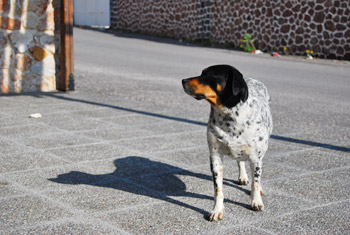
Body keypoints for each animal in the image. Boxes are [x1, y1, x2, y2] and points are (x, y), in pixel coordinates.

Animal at [182, 64, 272, 222]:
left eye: (208, 75)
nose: (183, 81)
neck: (229, 117)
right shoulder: (215, 156)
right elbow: (218, 189)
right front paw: (217, 210)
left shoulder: (255, 157)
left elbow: (255, 182)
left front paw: (256, 201)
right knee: (240, 161)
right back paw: (243, 176)